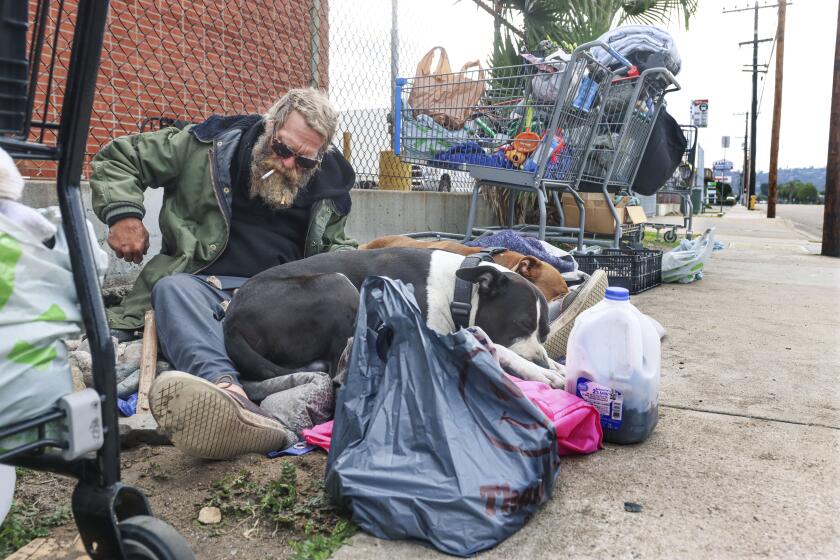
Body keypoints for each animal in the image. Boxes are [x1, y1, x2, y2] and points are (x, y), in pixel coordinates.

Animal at [225, 247, 564, 388]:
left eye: (546, 333)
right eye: (521, 324)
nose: (540, 361)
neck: (459, 288)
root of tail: (231, 321)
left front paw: (555, 365)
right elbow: (503, 348)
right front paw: (541, 373)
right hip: (337, 283)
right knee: (338, 366)